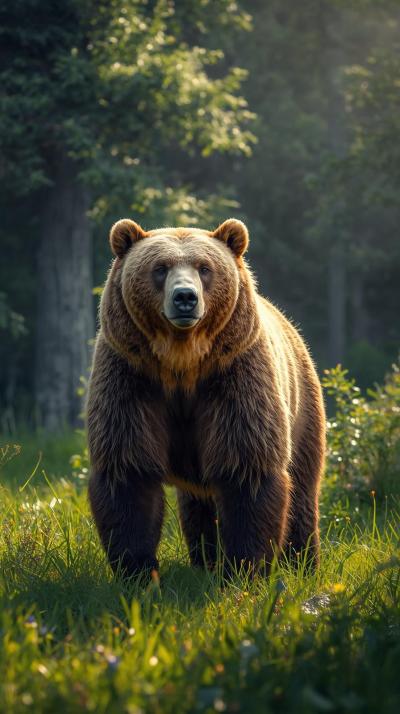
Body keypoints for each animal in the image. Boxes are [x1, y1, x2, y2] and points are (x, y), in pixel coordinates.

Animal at [87, 217, 325, 579]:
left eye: (204, 267)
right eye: (160, 268)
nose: (185, 297)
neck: (182, 363)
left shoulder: (234, 378)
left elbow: (246, 469)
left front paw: (245, 567)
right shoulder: (131, 378)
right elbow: (129, 469)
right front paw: (138, 571)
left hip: (302, 410)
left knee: (302, 488)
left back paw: (302, 562)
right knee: (197, 505)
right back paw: (205, 559)